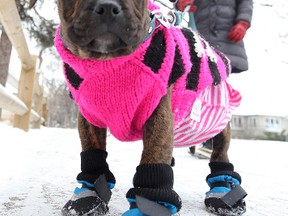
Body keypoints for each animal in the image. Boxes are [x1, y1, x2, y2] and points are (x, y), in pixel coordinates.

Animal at [29, 0, 248, 216]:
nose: (107, 7)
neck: (108, 62)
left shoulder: (159, 115)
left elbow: (154, 156)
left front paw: (149, 204)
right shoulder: (88, 116)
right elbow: (93, 152)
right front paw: (89, 194)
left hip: (217, 119)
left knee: (220, 150)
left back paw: (224, 190)